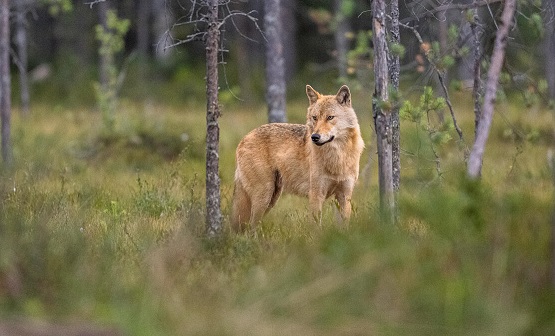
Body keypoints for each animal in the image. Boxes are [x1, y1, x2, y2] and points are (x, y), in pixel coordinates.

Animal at [230, 84, 364, 231]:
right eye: (315, 118)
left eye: (330, 117)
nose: (314, 137)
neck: (338, 157)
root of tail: (244, 137)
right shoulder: (316, 195)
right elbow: (316, 227)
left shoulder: (344, 196)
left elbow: (344, 227)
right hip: (264, 197)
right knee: (250, 227)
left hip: (271, 198)